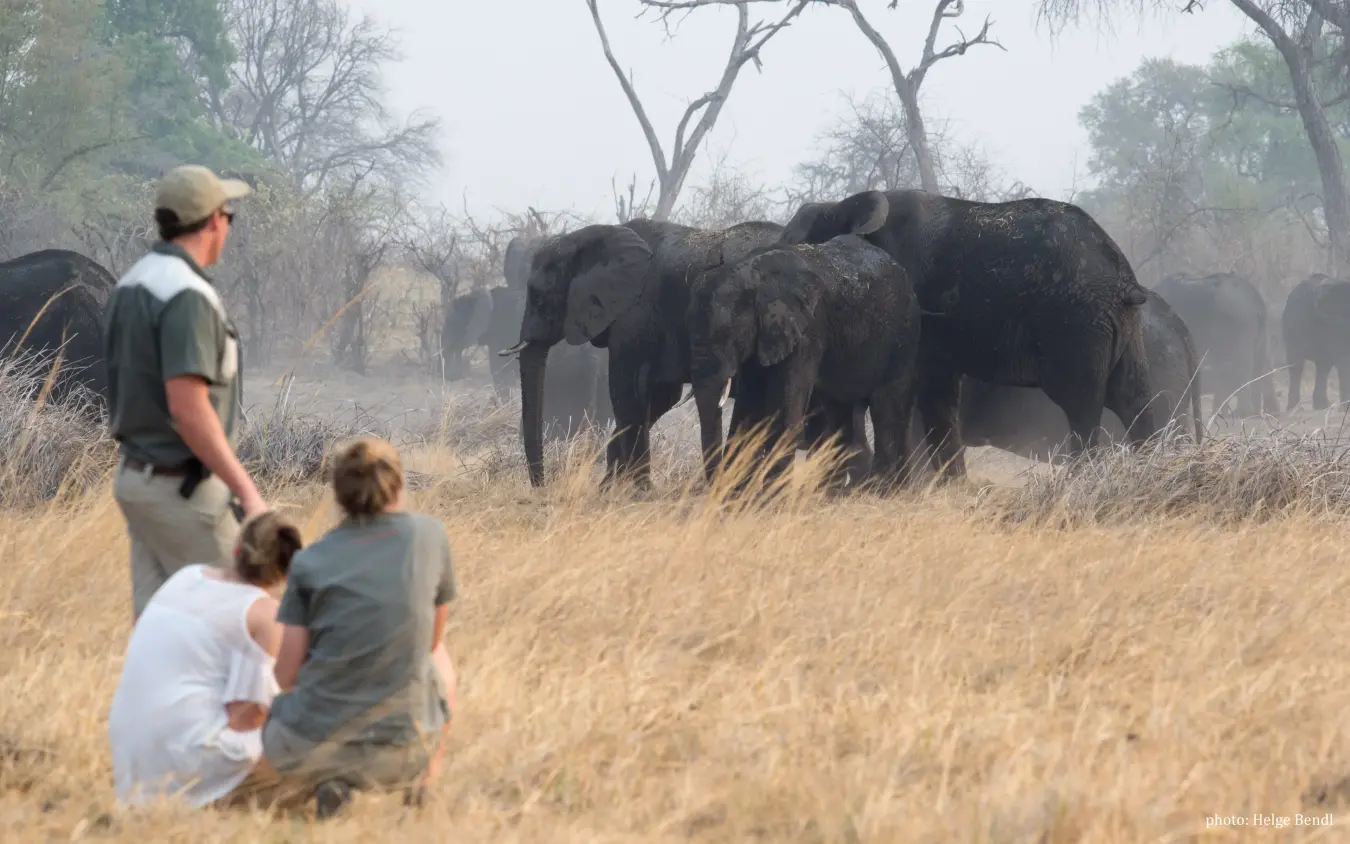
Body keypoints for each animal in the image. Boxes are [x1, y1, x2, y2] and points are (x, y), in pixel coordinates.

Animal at [500, 218, 784, 488]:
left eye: (538, 297)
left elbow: (627, 390)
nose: (542, 488)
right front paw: (607, 489)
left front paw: (639, 492)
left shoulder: (635, 314)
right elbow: (662, 396)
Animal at [687, 234, 922, 492]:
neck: (753, 274)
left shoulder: (808, 329)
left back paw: (881, 491)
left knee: (886, 409)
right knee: (840, 413)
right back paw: (835, 493)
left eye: (728, 333)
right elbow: (748, 406)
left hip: (902, 338)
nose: (715, 487)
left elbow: (784, 406)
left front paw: (771, 495)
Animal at [777, 189, 1161, 479]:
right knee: (1134, 398)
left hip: (1075, 324)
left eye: (799, 245)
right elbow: (939, 394)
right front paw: (953, 488)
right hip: (1117, 325)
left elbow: (922, 391)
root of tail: (1123, 277)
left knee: (1082, 406)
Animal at [1151, 271, 1277, 418]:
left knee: (1241, 367)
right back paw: (1264, 412)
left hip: (1236, 325)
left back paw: (1242, 412)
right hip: (1258, 330)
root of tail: (1256, 303)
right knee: (1260, 363)